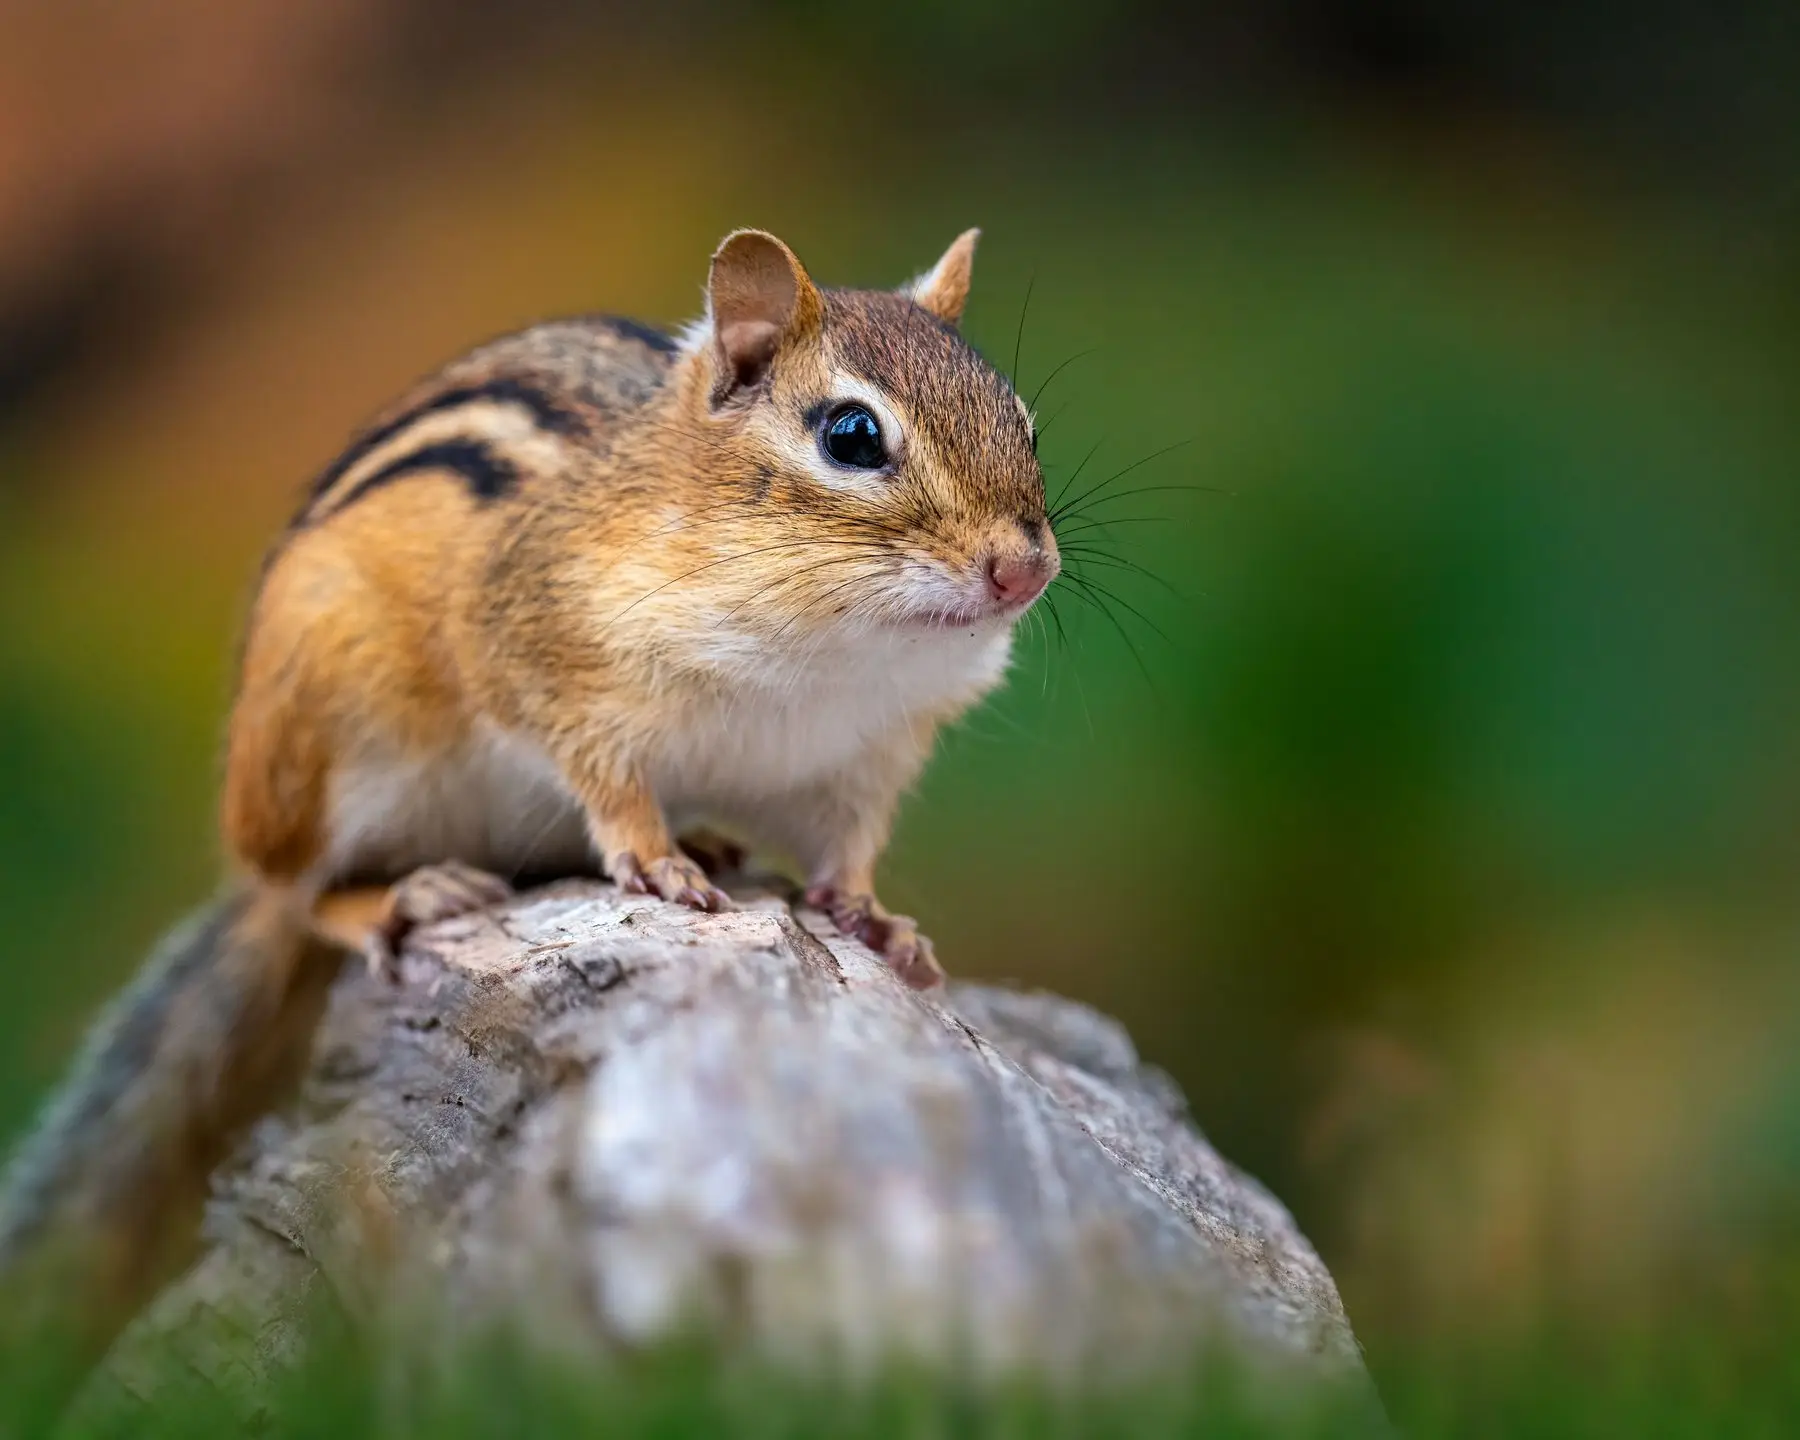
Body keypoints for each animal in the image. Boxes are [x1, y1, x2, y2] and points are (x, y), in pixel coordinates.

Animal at [0, 227, 1058, 1396]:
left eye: (1026, 423)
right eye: (853, 435)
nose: (1024, 569)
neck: (830, 644)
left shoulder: (865, 755)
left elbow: (852, 847)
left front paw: (875, 919)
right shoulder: (543, 659)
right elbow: (603, 776)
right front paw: (654, 860)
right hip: (324, 732)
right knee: (295, 887)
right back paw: (404, 895)